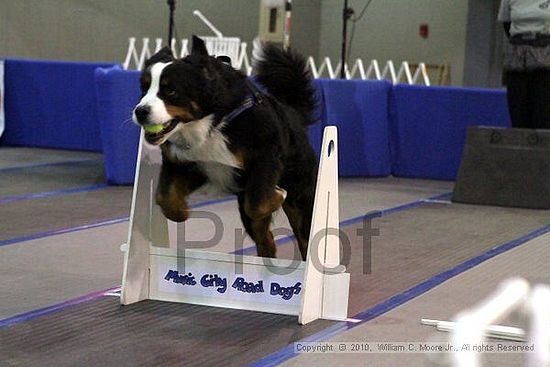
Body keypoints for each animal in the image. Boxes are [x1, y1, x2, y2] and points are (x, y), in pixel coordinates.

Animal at [131, 36, 316, 260]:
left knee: (304, 237)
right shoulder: (184, 163)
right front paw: (181, 211)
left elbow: (258, 203)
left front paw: (278, 195)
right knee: (265, 240)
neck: (210, 122)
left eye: (170, 91)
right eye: (144, 89)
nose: (141, 111)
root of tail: (293, 114)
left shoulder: (265, 157)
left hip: (301, 195)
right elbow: (165, 197)